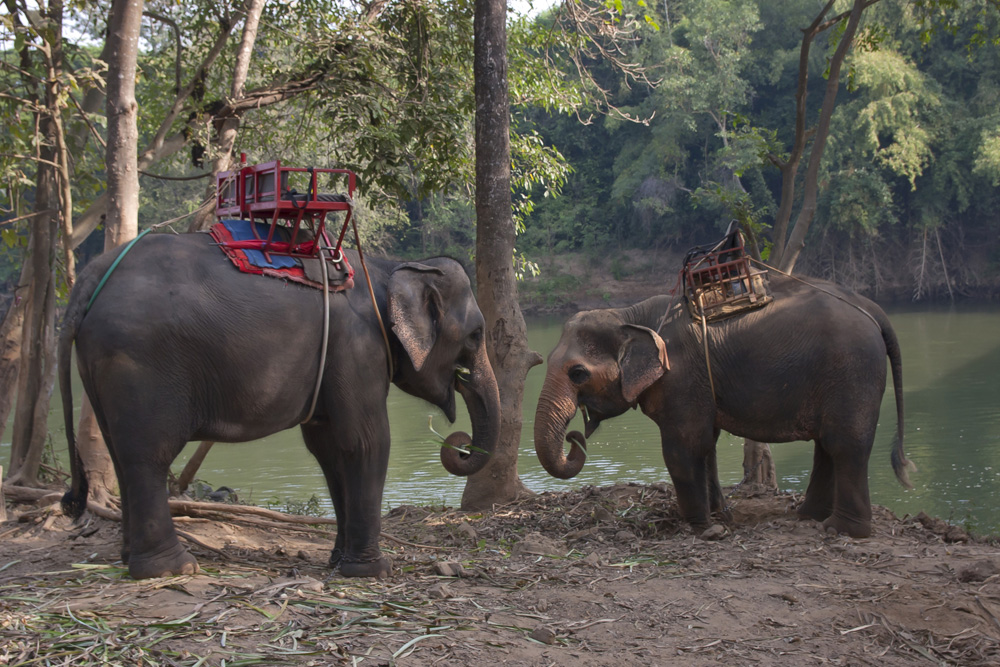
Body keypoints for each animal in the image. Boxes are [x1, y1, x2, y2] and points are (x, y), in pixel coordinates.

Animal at [59, 234, 500, 580]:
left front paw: (338, 563)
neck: (388, 267)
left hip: (100, 365)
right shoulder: (358, 347)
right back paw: (173, 569)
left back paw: (129, 559)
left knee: (121, 454)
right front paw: (373, 571)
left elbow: (330, 449)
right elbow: (366, 442)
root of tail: (91, 278)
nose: (460, 443)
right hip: (139, 363)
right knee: (148, 456)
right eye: (476, 334)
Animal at [536, 274, 912, 540]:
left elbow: (684, 447)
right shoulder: (700, 383)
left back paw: (842, 530)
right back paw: (809, 517)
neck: (630, 315)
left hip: (853, 370)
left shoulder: (681, 377)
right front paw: (721, 515)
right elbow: (707, 445)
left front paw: (700, 526)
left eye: (578, 373)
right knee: (827, 445)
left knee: (844, 444)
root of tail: (872, 308)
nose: (574, 437)